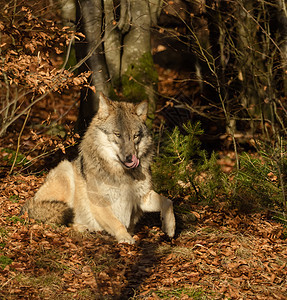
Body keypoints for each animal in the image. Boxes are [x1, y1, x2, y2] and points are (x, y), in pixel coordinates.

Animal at [22, 94, 176, 244]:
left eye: (135, 136)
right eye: (117, 134)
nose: (130, 158)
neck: (122, 174)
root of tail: (30, 202)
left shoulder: (142, 197)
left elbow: (168, 201)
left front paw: (169, 227)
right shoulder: (100, 203)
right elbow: (117, 223)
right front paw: (125, 238)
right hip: (65, 170)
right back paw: (83, 227)